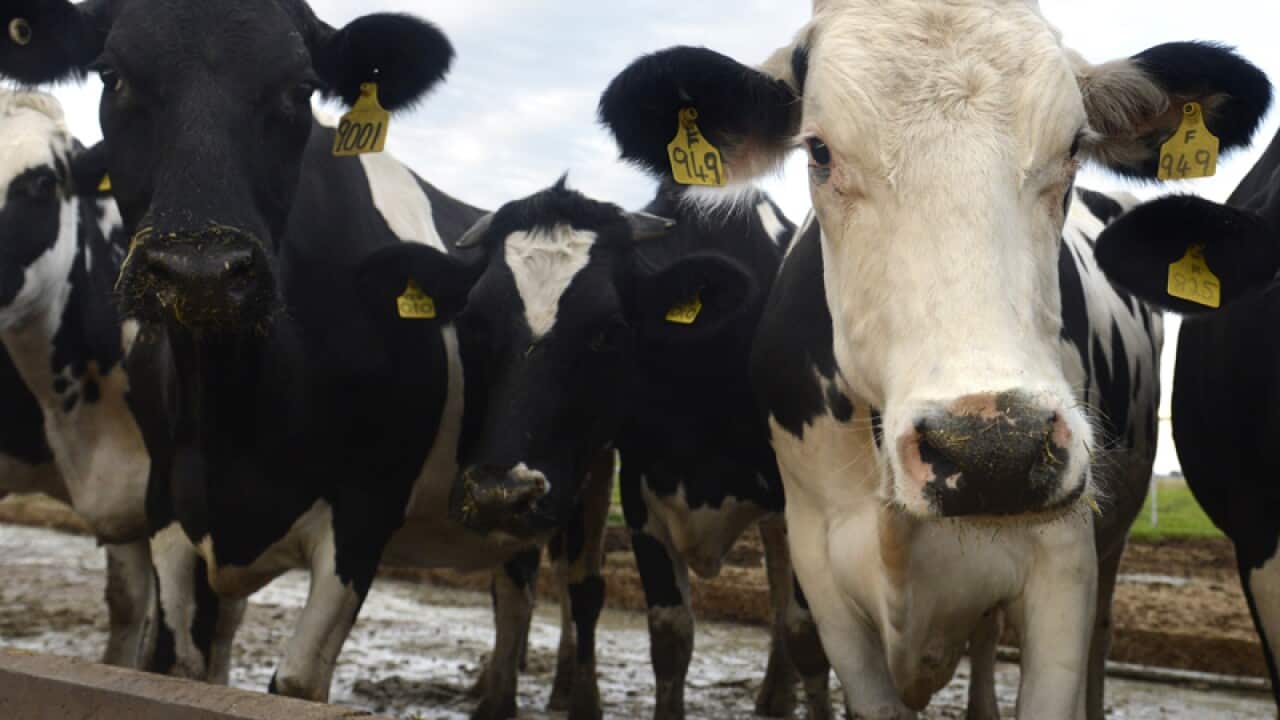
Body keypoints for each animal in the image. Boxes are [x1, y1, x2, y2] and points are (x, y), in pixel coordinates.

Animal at [446, 178, 831, 719]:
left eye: (608, 329)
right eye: (474, 322)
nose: (498, 493)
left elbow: (808, 632)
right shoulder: (642, 500)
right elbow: (670, 636)